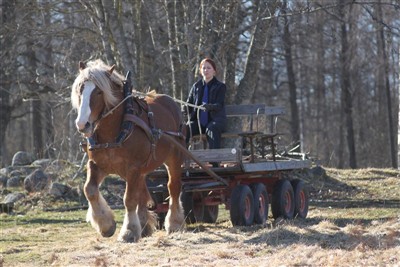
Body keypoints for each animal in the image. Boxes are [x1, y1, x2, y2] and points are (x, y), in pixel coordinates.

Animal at [70, 59, 186, 244]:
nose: (83, 124)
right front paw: (106, 224)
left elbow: (129, 199)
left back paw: (174, 223)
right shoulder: (97, 165)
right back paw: (144, 224)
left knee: (173, 188)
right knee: (142, 192)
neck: (115, 131)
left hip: (174, 157)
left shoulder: (133, 168)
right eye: (80, 89)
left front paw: (129, 231)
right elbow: (90, 190)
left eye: (99, 92)